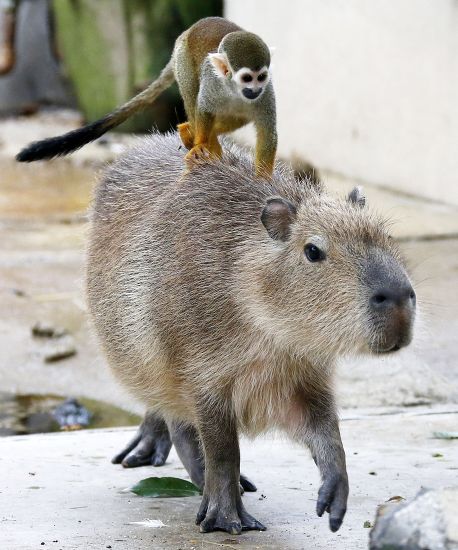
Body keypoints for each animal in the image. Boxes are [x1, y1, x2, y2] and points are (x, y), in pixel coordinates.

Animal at [16, 17, 278, 178]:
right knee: (192, 94)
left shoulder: (266, 95)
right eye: (247, 78)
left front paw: (262, 180)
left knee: (236, 117)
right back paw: (195, 133)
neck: (234, 90)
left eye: (261, 77)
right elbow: (203, 108)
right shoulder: (214, 85)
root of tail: (186, 33)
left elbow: (268, 134)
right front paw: (203, 143)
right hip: (183, 59)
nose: (254, 89)